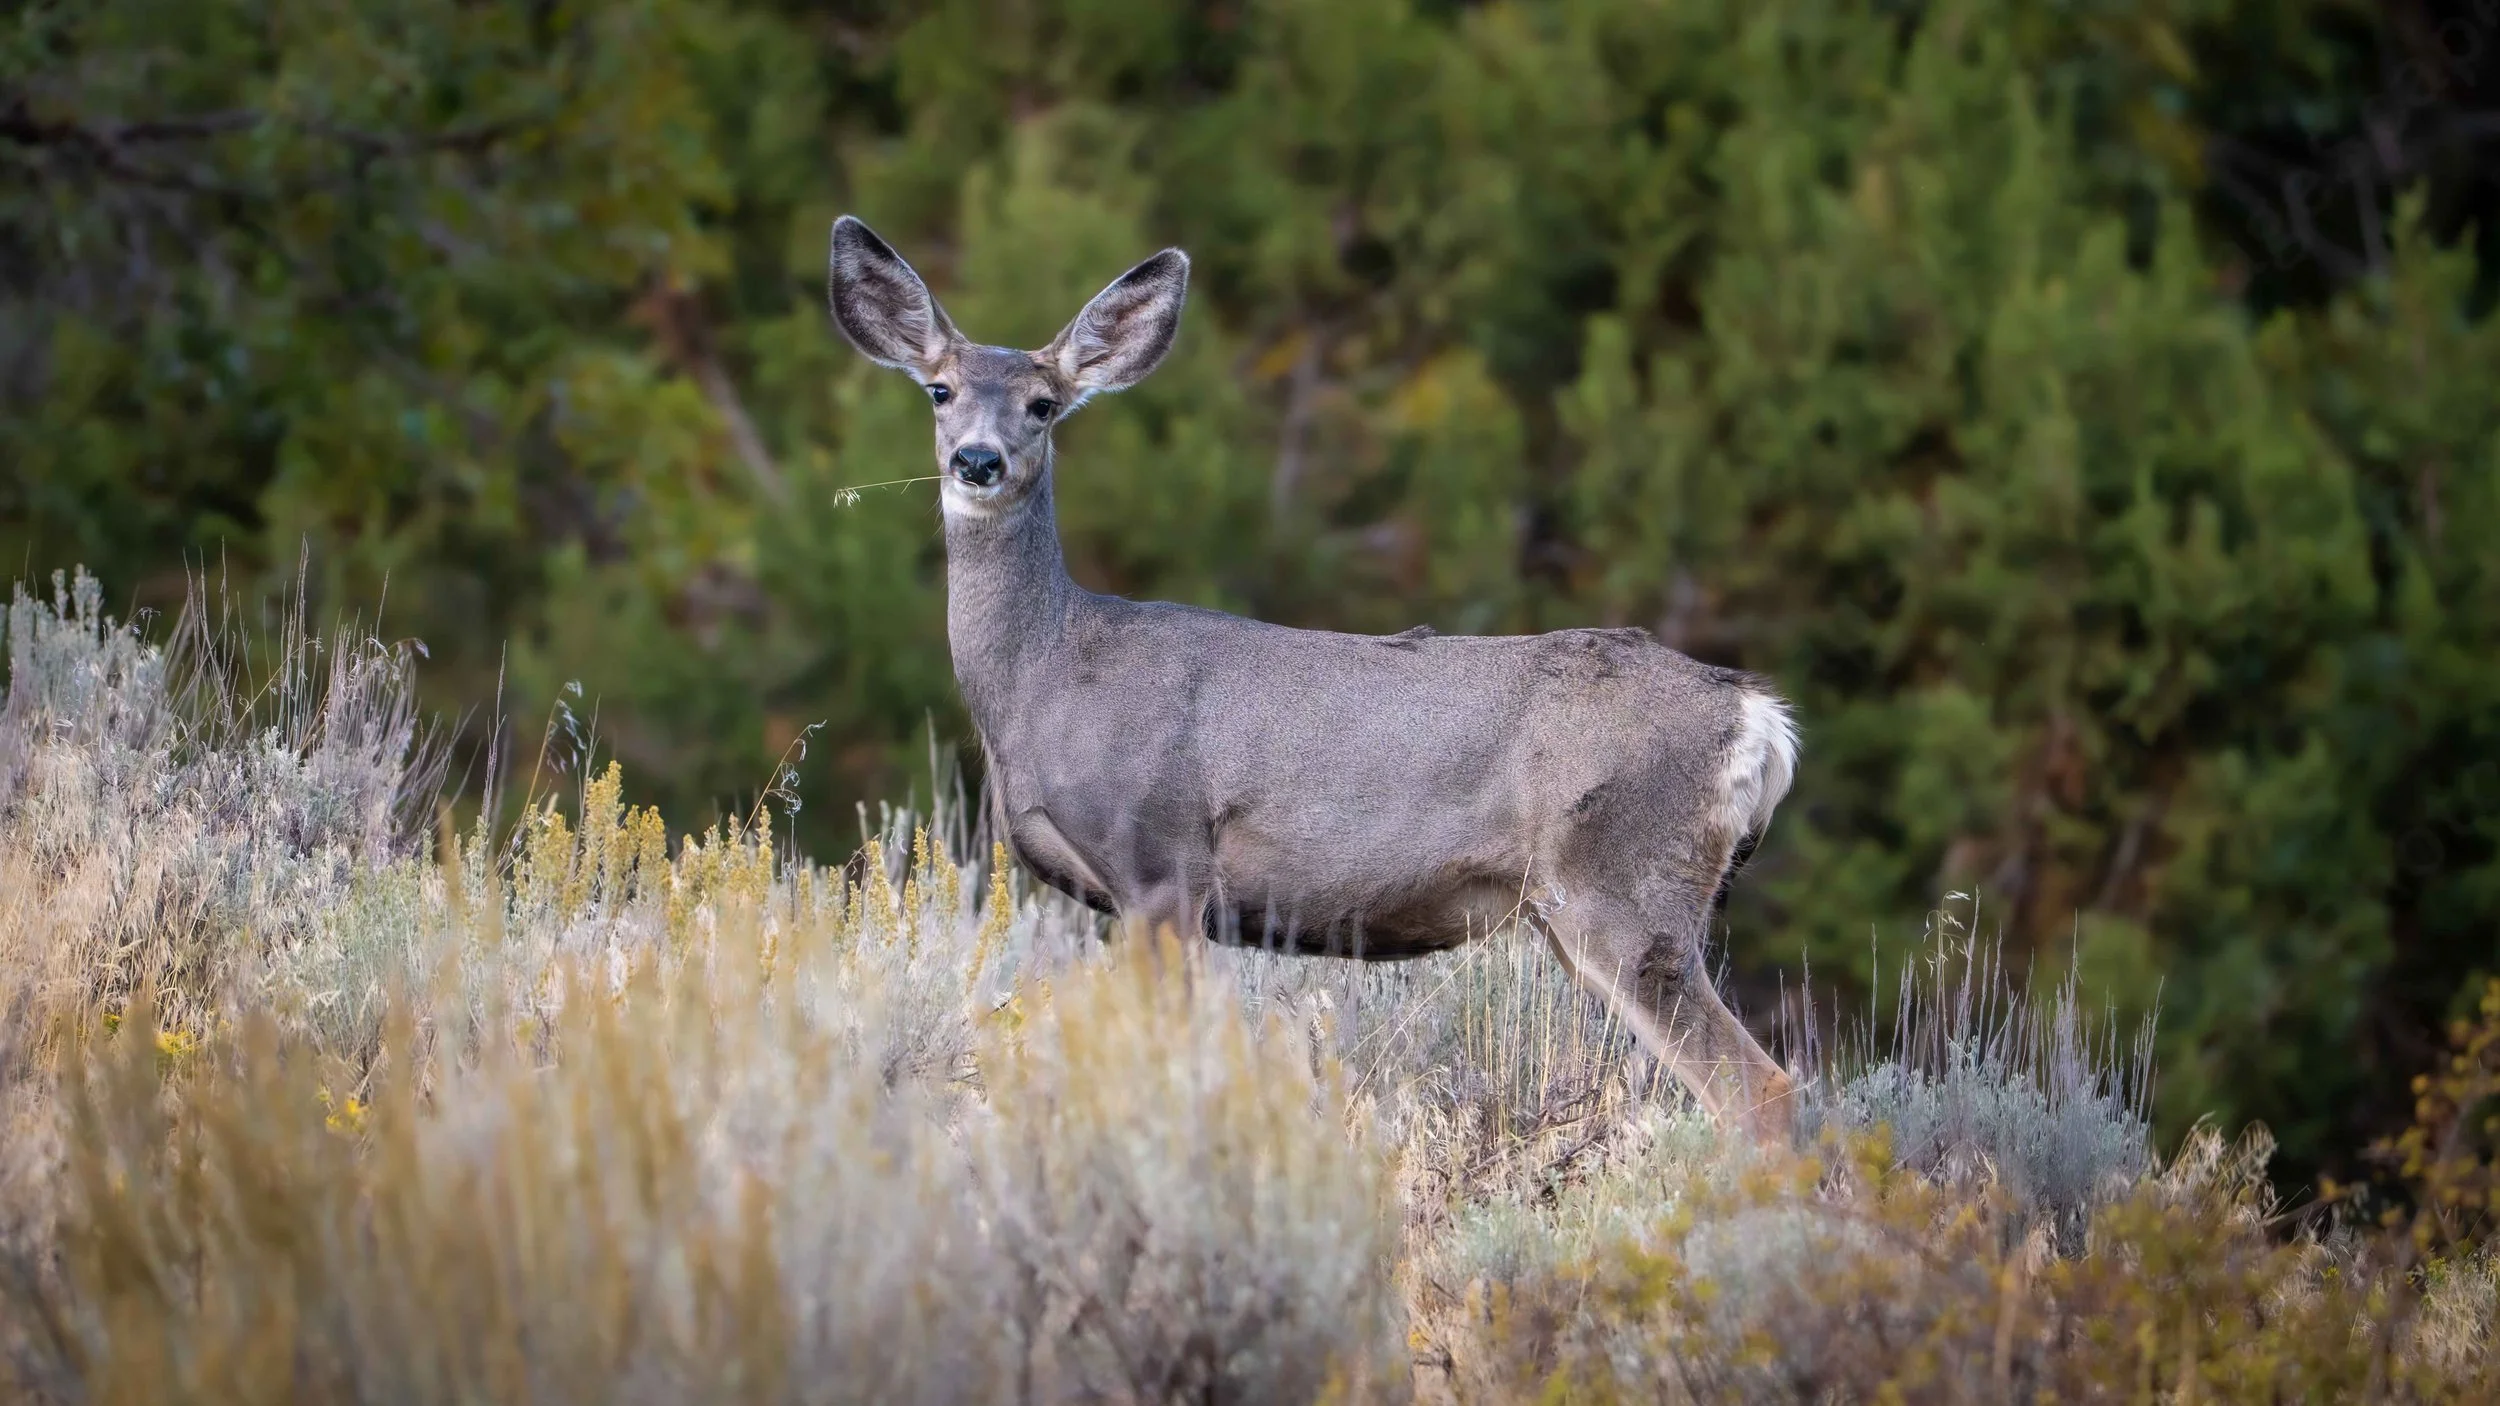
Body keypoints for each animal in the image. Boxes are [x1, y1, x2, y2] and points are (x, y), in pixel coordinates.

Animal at [826, 216, 1802, 1141]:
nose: (978, 460)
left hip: (1626, 885)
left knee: (1760, 1087)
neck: (1047, 676)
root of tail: (1758, 717)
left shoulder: (1161, 859)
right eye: (941, 391)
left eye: (1042, 404)